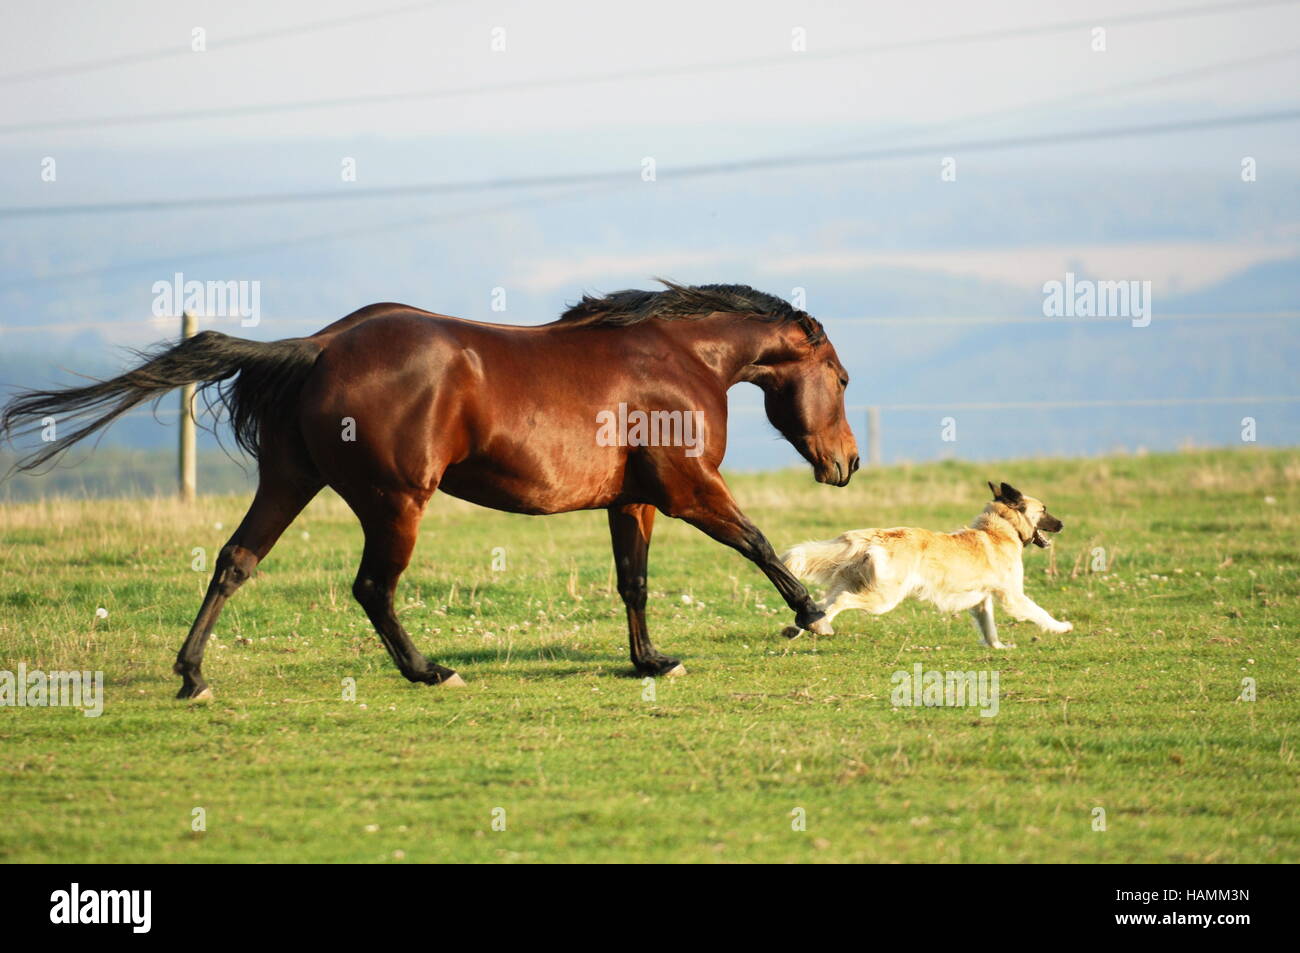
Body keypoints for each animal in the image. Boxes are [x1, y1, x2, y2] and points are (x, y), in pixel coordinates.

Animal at [2, 278, 863, 696]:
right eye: (844, 377)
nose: (846, 464)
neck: (680, 359)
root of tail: (317, 346)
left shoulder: (634, 499)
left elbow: (635, 582)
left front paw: (651, 661)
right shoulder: (687, 488)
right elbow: (755, 541)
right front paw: (812, 615)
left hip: (290, 481)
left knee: (234, 561)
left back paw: (192, 677)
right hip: (395, 501)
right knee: (372, 587)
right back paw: (430, 671)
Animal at [774, 483, 1071, 647]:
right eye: (1044, 510)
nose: (1062, 525)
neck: (1001, 528)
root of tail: (875, 536)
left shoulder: (981, 599)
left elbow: (989, 627)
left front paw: (998, 647)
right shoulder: (1013, 597)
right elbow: (1040, 613)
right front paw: (1062, 627)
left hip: (856, 584)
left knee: (820, 605)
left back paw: (800, 629)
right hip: (883, 597)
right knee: (840, 601)